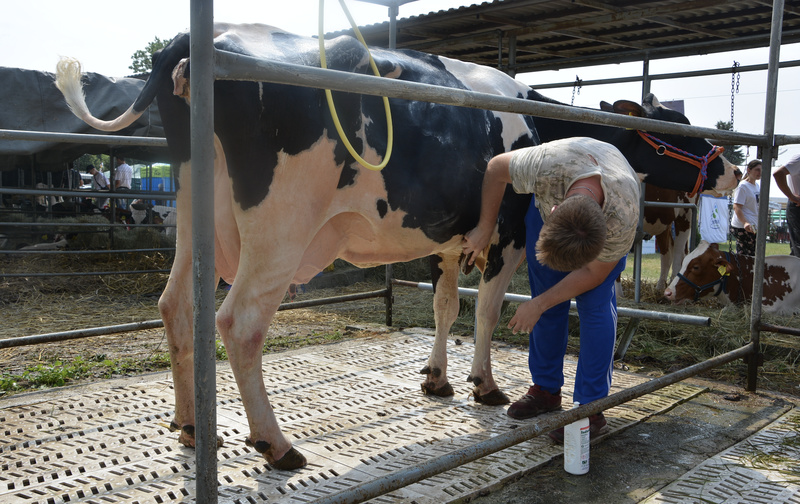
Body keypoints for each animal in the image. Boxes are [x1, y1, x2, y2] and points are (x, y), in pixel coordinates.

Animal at [56, 21, 740, 470]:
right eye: (677, 128)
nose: (732, 166)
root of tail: (197, 40)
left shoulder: (445, 240)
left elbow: (444, 305)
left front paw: (437, 379)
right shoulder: (506, 235)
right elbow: (485, 310)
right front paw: (485, 385)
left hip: (196, 212)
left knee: (177, 307)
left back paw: (194, 425)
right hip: (279, 227)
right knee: (239, 321)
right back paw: (276, 444)